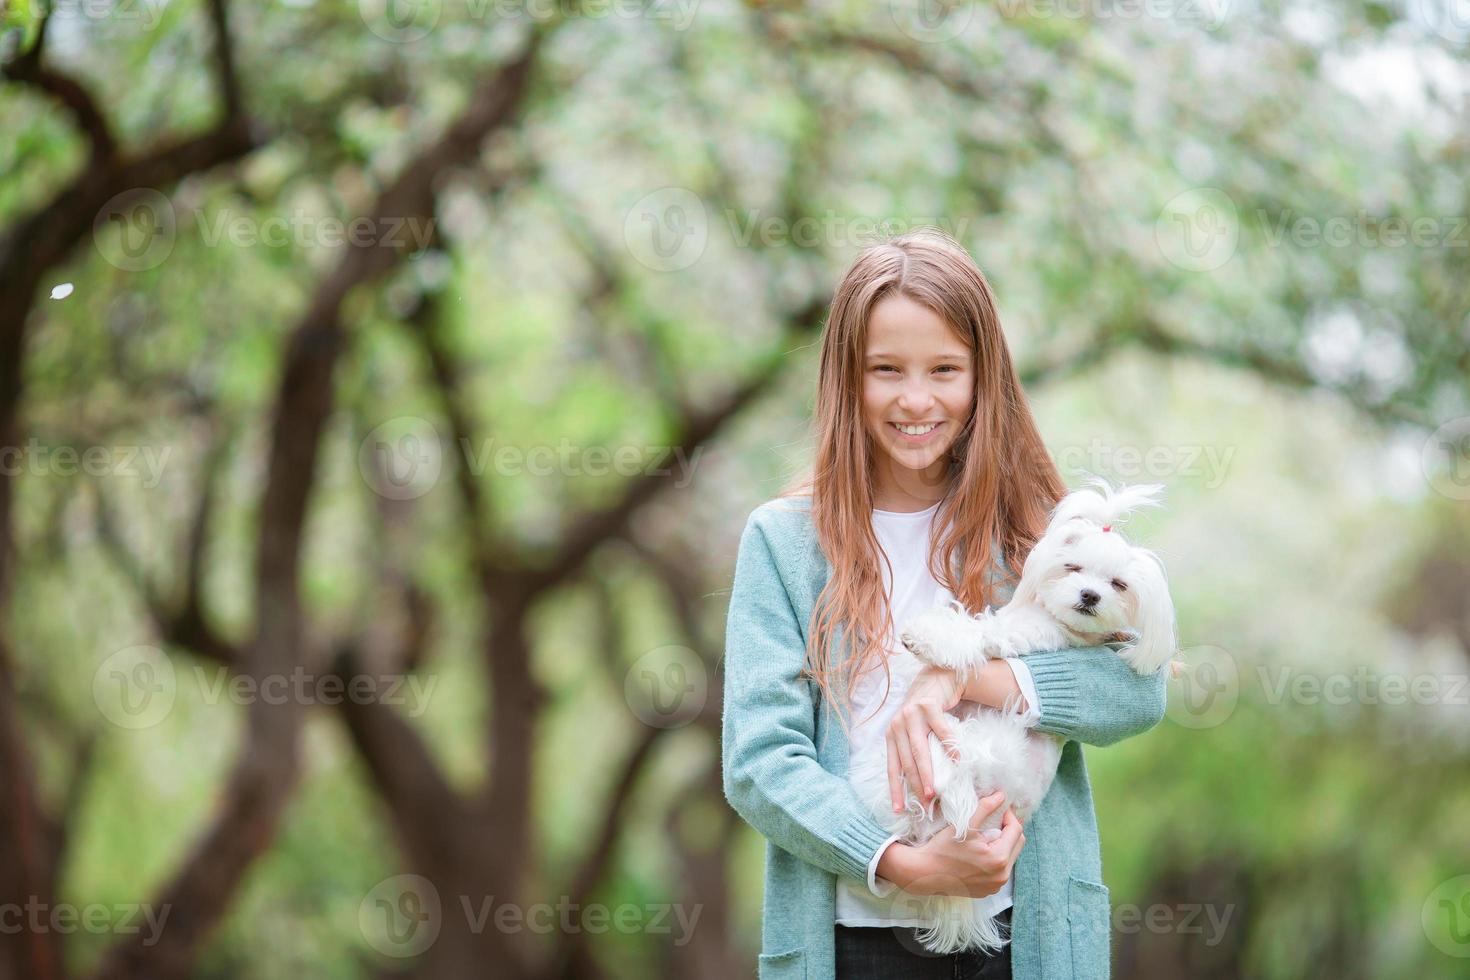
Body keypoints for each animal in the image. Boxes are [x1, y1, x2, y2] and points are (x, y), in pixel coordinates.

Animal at [852, 478, 1170, 952]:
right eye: (1073, 568)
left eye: (1118, 583)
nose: (1090, 595)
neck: (1056, 620)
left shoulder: (1018, 636)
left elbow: (977, 635)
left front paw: (927, 638)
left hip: (993, 747)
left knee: (954, 760)